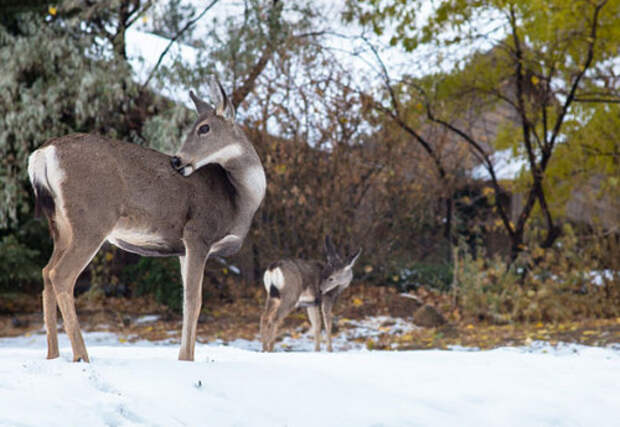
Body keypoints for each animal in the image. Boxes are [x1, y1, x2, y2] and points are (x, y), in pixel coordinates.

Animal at [27, 77, 266, 362]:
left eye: (204, 127)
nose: (177, 160)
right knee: (61, 275)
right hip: (93, 218)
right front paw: (187, 359)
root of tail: (43, 153)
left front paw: (183, 357)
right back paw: (81, 356)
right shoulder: (198, 233)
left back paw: (53, 355)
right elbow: (194, 301)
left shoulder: (183, 249)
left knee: (45, 272)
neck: (239, 198)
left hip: (61, 225)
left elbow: (186, 301)